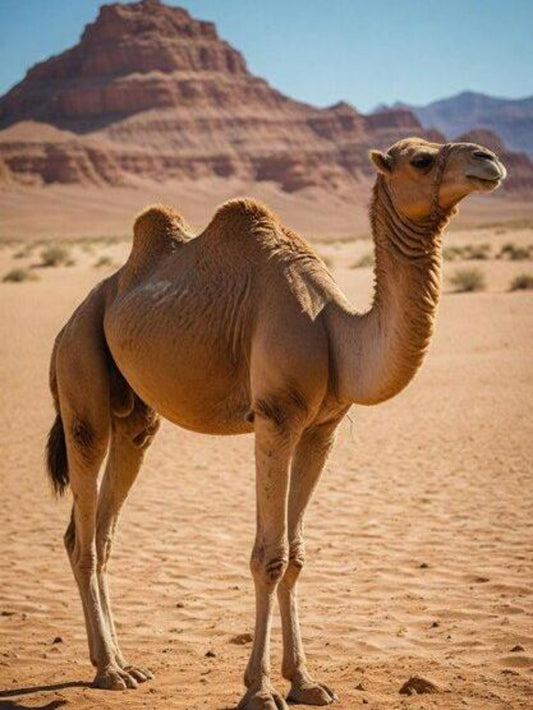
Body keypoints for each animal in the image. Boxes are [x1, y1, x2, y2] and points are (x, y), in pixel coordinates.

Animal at [46, 137, 505, 708]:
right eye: (421, 160)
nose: (488, 161)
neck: (334, 330)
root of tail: (68, 322)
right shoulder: (275, 418)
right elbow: (269, 556)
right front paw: (261, 689)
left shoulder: (320, 430)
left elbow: (297, 556)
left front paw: (306, 681)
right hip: (80, 367)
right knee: (84, 525)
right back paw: (110, 671)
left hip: (135, 414)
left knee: (101, 525)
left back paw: (120, 663)